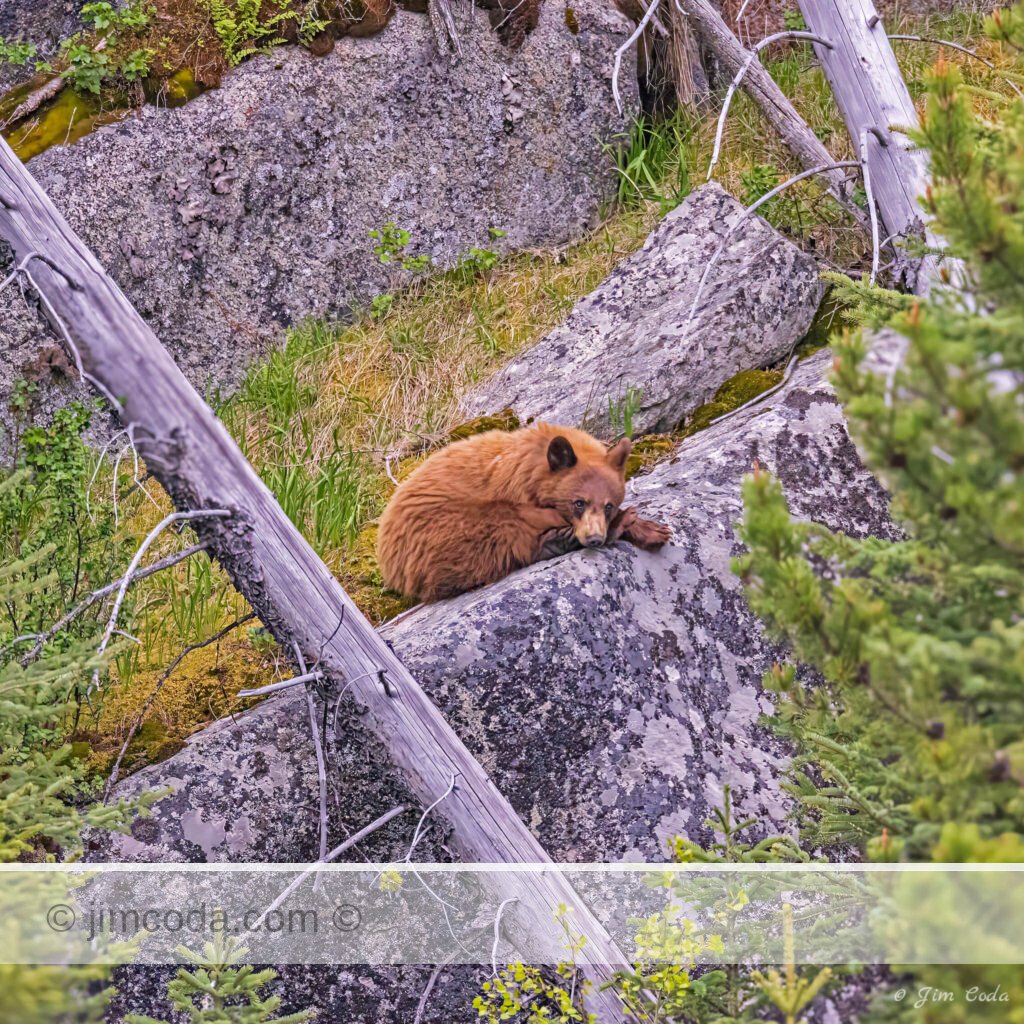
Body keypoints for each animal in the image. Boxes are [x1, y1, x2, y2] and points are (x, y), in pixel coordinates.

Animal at [376, 422, 672, 603]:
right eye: (579, 502)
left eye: (607, 504)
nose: (594, 539)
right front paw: (631, 524)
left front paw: (653, 529)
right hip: (437, 531)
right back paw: (558, 541)